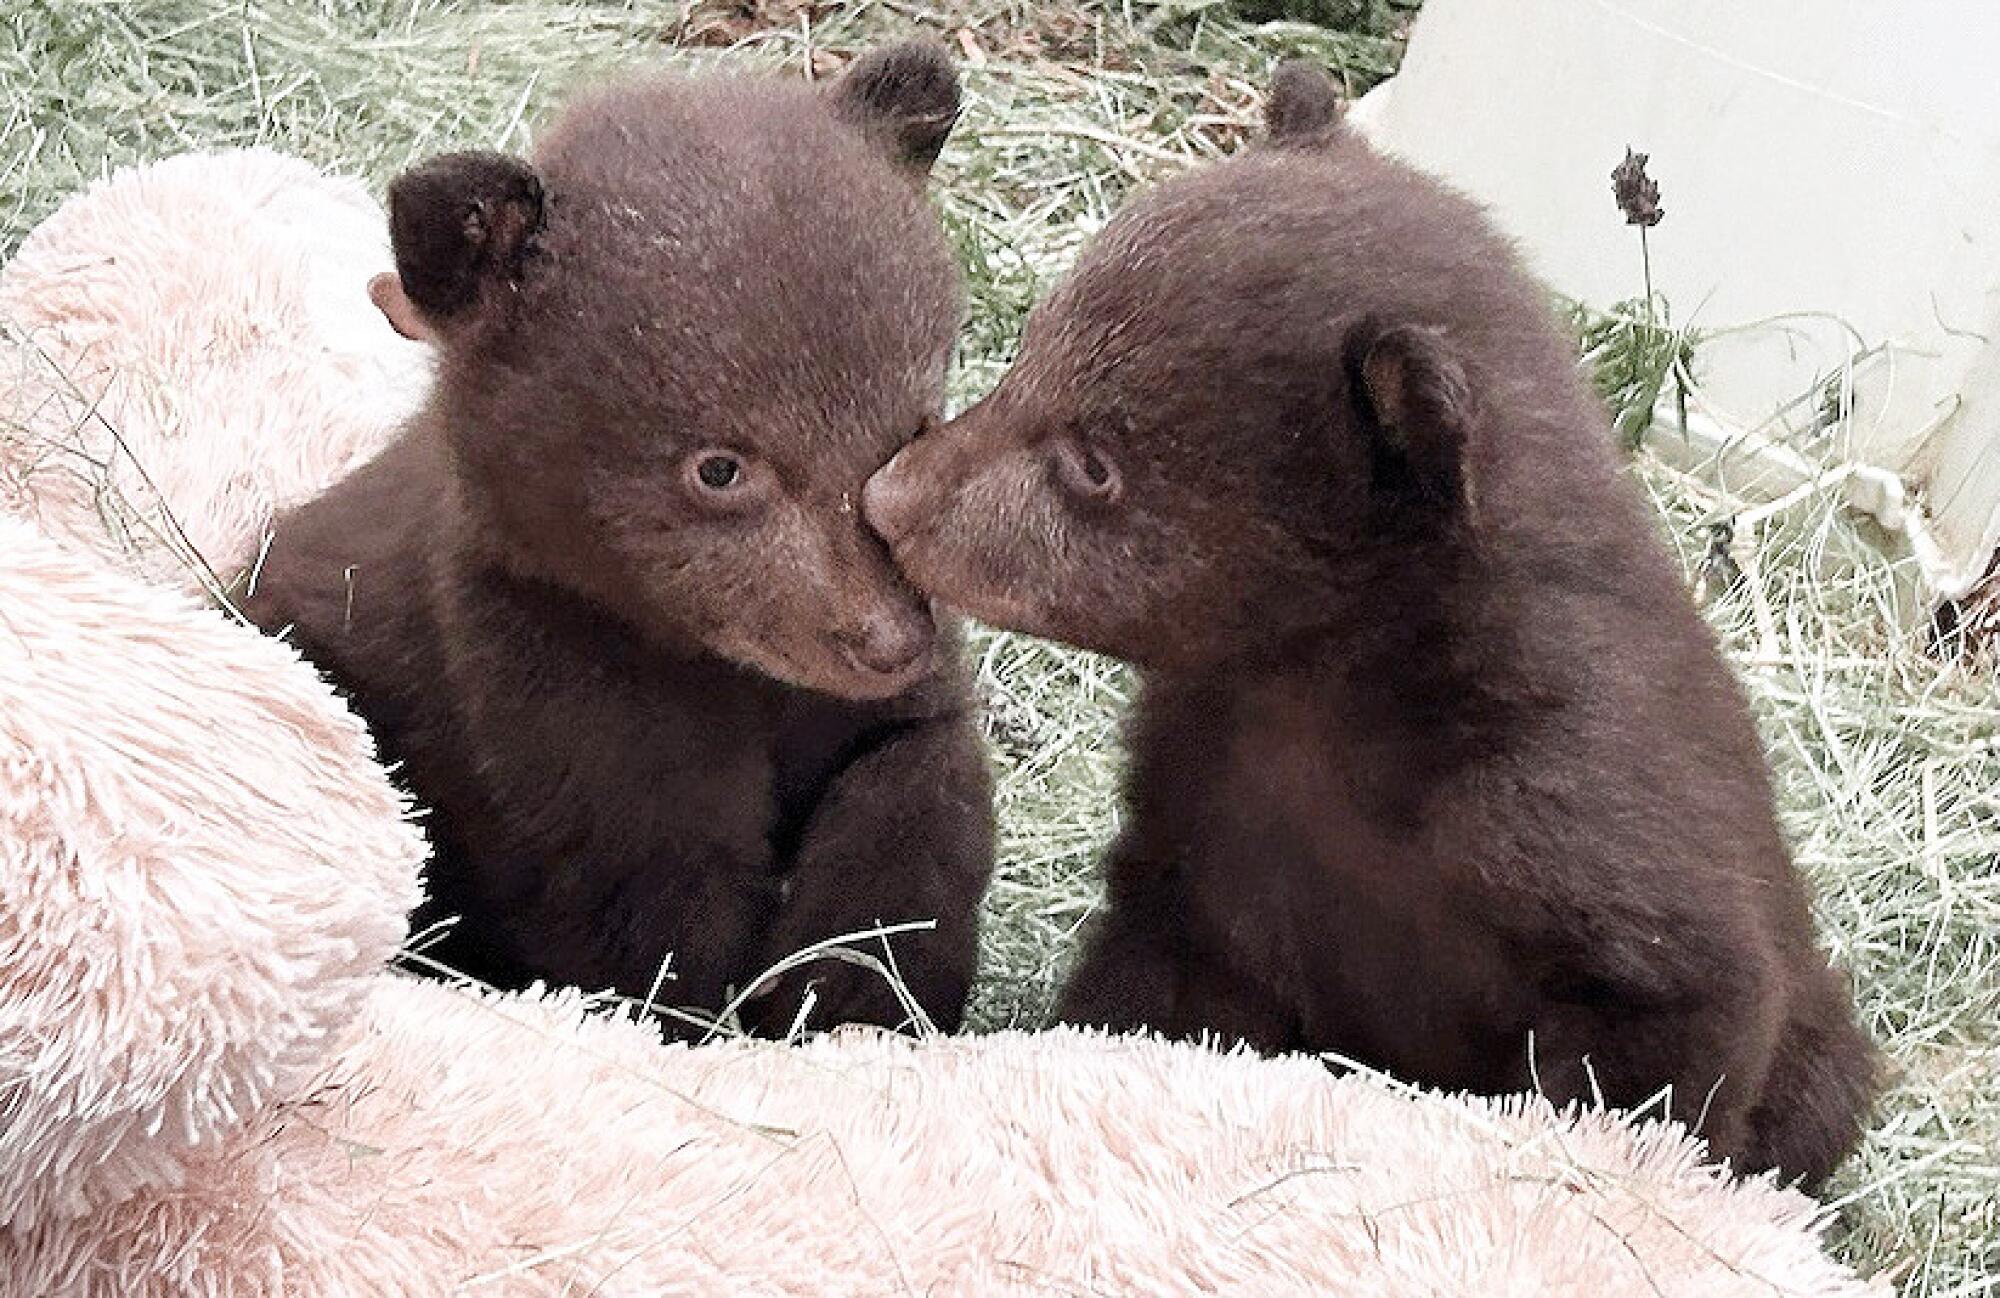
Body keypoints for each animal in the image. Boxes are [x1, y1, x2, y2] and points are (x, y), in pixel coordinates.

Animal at [242, 45, 995, 1038]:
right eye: (720, 468)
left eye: (913, 425)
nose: (888, 639)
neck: (721, 670)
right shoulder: (555, 693)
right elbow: (646, 918)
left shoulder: (874, 708)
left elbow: (914, 783)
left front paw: (852, 991)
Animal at [861, 61, 1875, 1187]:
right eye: (1030, 351)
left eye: (1093, 463)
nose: (889, 499)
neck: (1331, 687)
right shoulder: (1207, 816)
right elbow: (1160, 980)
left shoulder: (1576, 813)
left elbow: (1668, 1028)